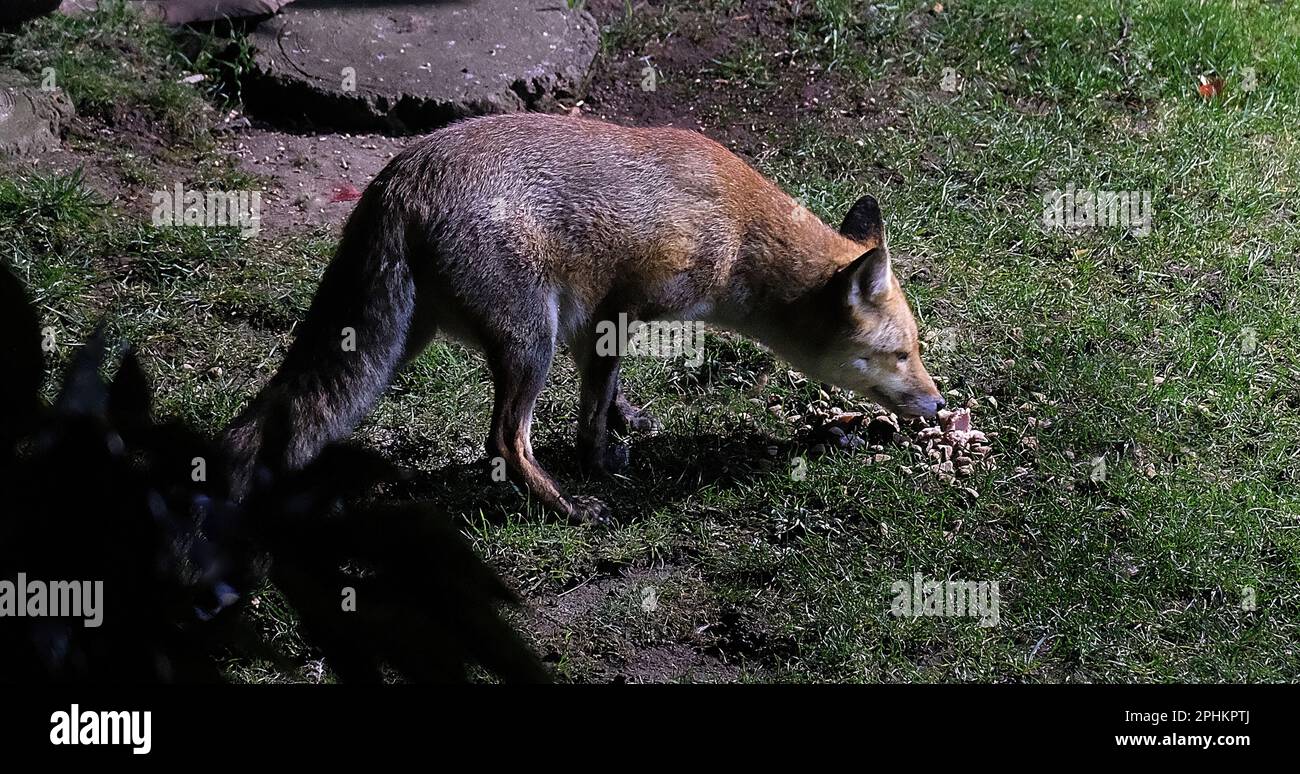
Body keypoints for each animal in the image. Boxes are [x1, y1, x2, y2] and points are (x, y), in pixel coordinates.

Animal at [223, 113, 944, 525]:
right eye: (901, 354)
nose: (938, 405)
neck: (736, 234)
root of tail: (399, 175)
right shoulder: (612, 311)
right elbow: (591, 410)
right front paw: (599, 460)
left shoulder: (591, 321)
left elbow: (610, 392)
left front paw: (627, 424)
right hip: (529, 343)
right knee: (505, 442)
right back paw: (569, 507)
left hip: (407, 343)